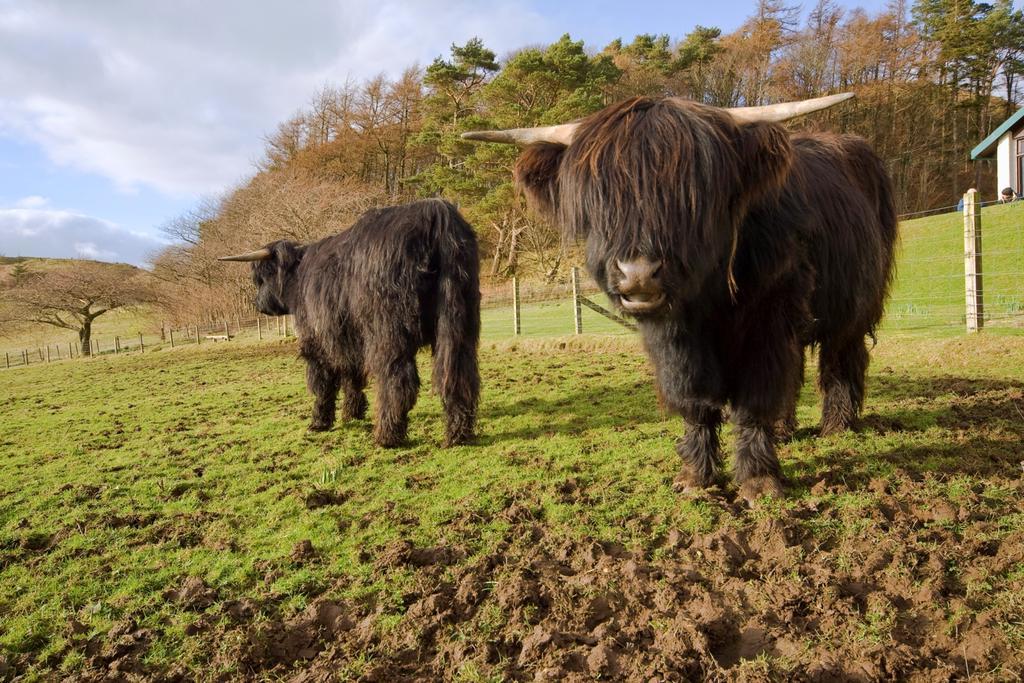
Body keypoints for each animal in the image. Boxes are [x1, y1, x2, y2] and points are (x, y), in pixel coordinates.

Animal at [219, 197, 479, 448]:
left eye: (261, 278)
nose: (257, 304)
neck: (298, 278)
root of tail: (435, 211)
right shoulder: (348, 336)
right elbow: (352, 375)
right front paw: (353, 413)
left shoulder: (319, 338)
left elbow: (322, 382)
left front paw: (319, 422)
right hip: (460, 323)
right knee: (460, 375)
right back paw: (458, 435)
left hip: (388, 333)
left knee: (397, 379)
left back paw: (387, 437)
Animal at [464, 93, 897, 501]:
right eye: (598, 199)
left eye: (691, 196)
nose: (637, 273)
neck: (709, 298)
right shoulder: (674, 340)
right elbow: (695, 400)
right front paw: (696, 476)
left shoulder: (769, 319)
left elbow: (756, 397)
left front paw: (759, 480)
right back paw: (785, 428)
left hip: (856, 306)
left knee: (841, 359)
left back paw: (837, 426)